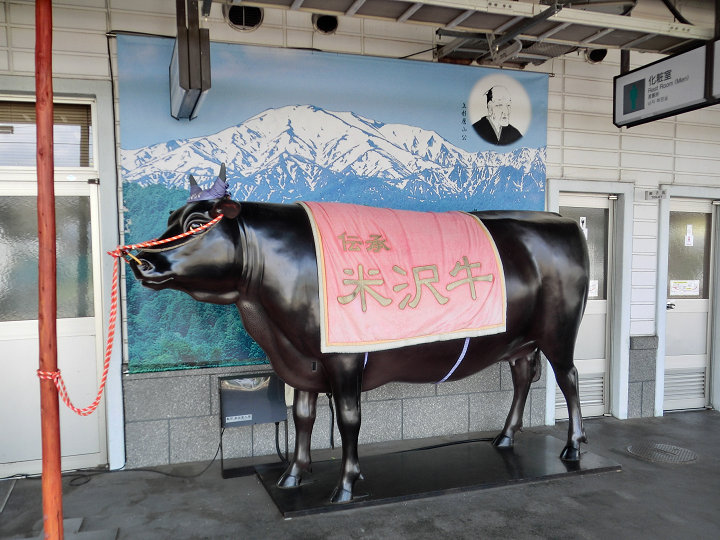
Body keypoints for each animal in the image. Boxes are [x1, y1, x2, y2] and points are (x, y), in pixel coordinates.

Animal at [129, 167, 589, 504]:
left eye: (197, 222)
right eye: (170, 219)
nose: (140, 259)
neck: (270, 326)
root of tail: (562, 219)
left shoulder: (344, 357)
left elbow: (349, 418)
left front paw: (346, 485)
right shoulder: (304, 359)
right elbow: (303, 417)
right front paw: (293, 475)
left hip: (560, 330)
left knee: (568, 378)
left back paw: (573, 446)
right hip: (521, 341)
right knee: (522, 377)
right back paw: (505, 437)